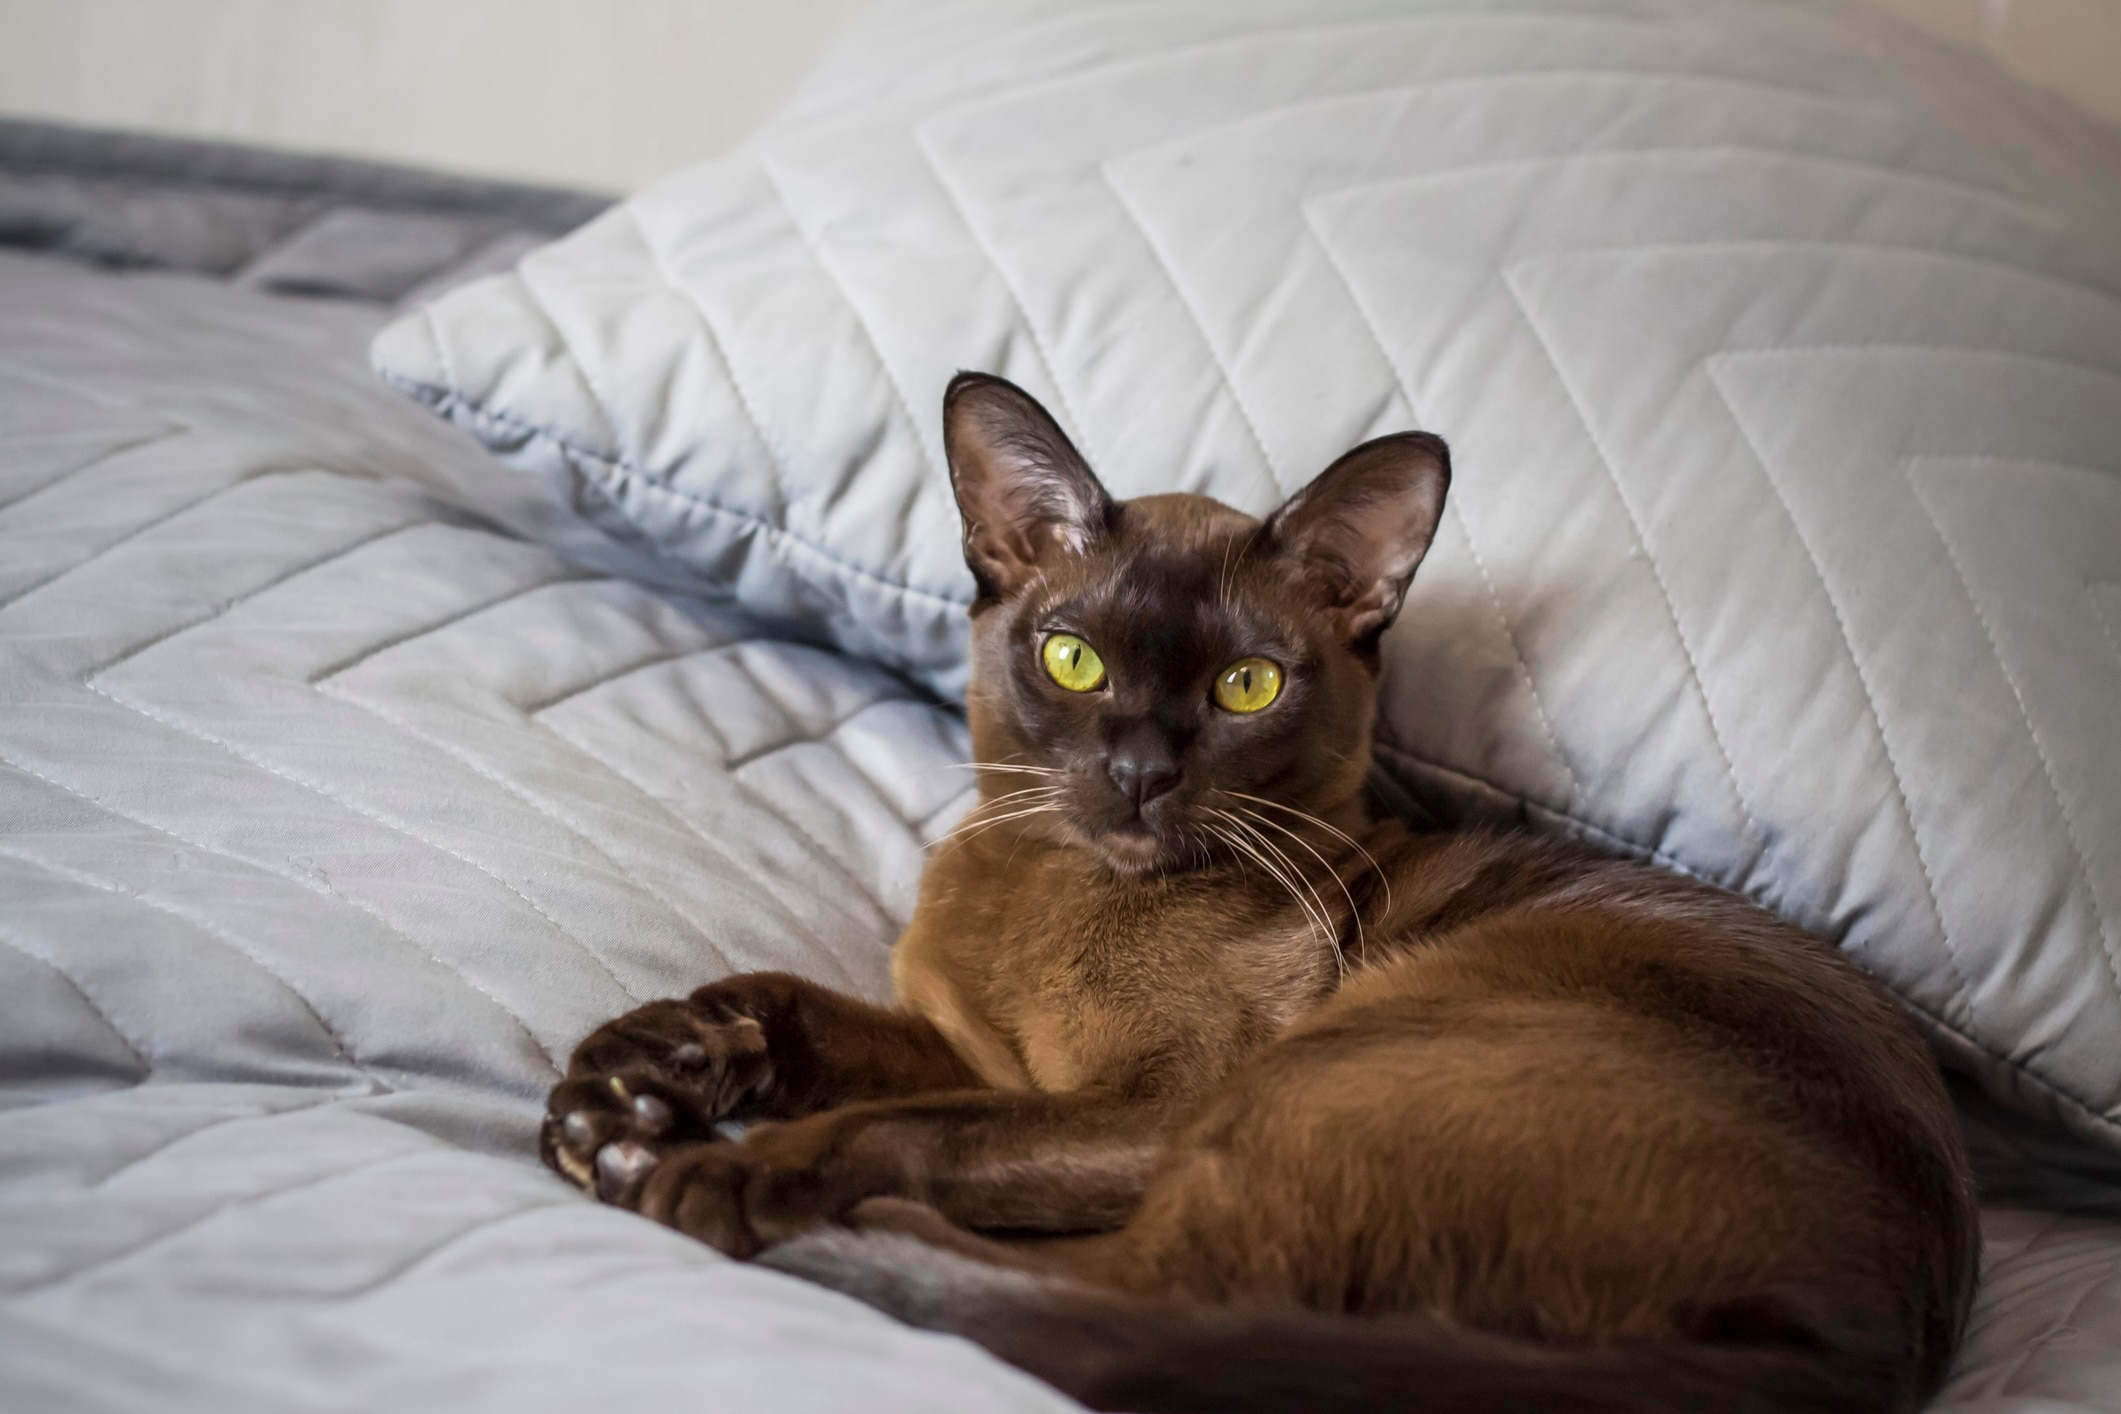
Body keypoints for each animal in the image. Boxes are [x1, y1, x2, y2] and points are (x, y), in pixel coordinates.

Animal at [542, 373, 1968, 1414]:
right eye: (1073, 658)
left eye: (1246, 687)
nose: (1138, 772)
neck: (1059, 894)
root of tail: (1851, 1345)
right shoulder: (976, 1051)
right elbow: (793, 1010)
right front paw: (635, 1080)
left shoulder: (1144, 1105)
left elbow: (910, 1124)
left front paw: (715, 1163)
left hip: (1329, 1071)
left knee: (1132, 1304)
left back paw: (736, 1201)